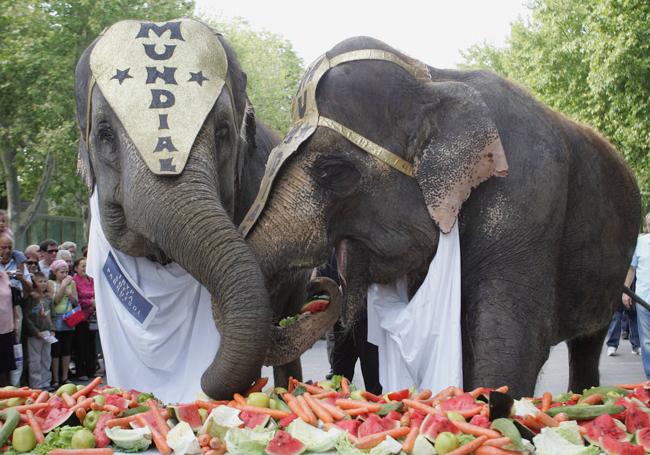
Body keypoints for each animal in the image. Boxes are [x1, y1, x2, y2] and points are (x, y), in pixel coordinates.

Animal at [246, 36, 640, 400]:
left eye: (333, 172)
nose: (317, 286)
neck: (431, 79)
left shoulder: (528, 197)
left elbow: (511, 342)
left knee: (588, 342)